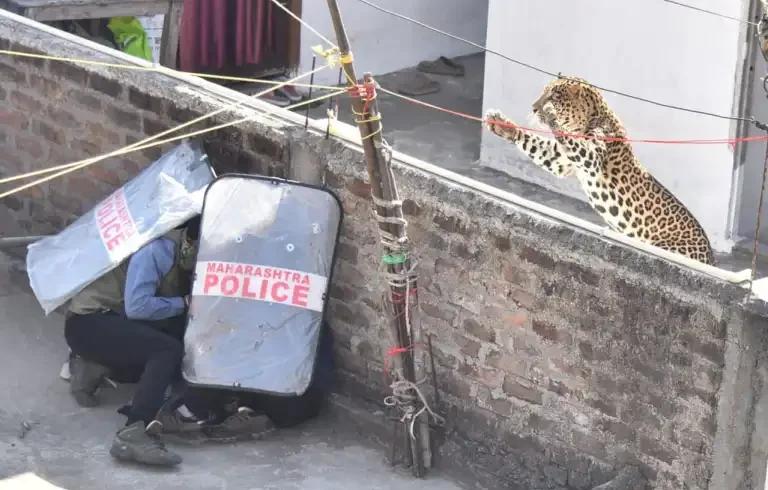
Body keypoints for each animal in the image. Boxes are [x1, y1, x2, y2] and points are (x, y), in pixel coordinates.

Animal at [484, 77, 715, 265]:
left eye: (553, 96)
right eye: (543, 92)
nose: (533, 108)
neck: (588, 117)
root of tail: (710, 257)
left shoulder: (591, 157)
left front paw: (551, 114)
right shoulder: (562, 160)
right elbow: (537, 145)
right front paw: (502, 125)